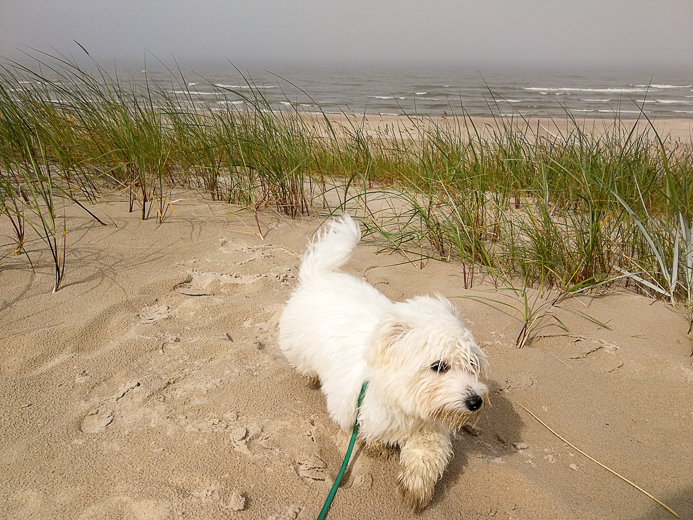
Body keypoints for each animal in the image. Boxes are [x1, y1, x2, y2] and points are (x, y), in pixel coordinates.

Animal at [278, 214, 490, 512]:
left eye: (472, 364)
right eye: (439, 366)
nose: (475, 402)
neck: (404, 399)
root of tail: (318, 275)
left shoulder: (429, 427)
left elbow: (427, 454)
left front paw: (415, 488)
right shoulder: (358, 408)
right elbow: (372, 434)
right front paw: (381, 449)